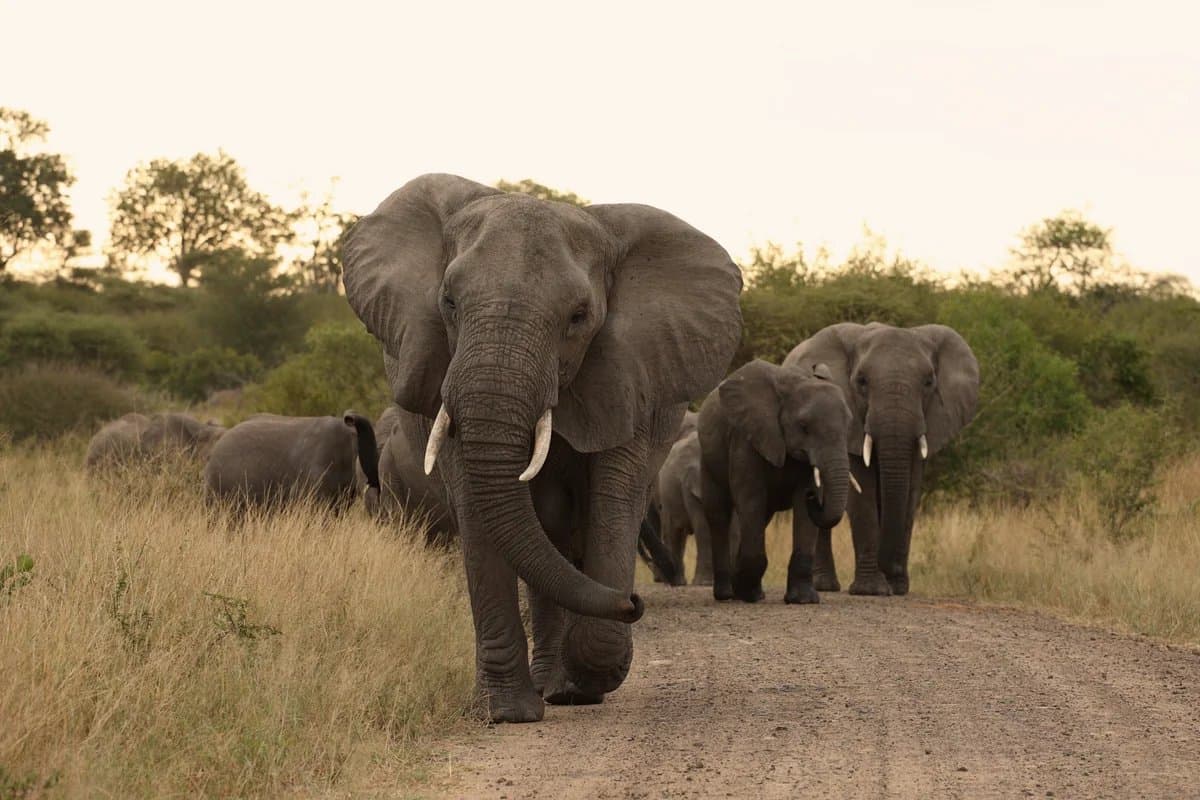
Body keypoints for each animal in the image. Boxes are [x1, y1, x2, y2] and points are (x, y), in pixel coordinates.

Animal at [341, 173, 742, 722]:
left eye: (579, 316)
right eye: (448, 303)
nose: (636, 602)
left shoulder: (629, 369)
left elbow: (612, 503)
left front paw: (586, 679)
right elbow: (480, 509)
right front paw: (507, 713)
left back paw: (563, 685)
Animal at [698, 359, 855, 604]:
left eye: (849, 425)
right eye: (804, 426)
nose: (814, 496)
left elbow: (801, 508)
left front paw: (802, 600)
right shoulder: (746, 437)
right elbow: (751, 497)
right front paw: (748, 595)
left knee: (760, 518)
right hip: (708, 458)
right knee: (719, 515)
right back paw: (727, 594)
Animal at [784, 322, 979, 595]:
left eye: (929, 382)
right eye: (861, 382)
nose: (892, 571)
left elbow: (911, 489)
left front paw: (896, 587)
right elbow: (863, 491)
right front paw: (872, 590)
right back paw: (825, 586)